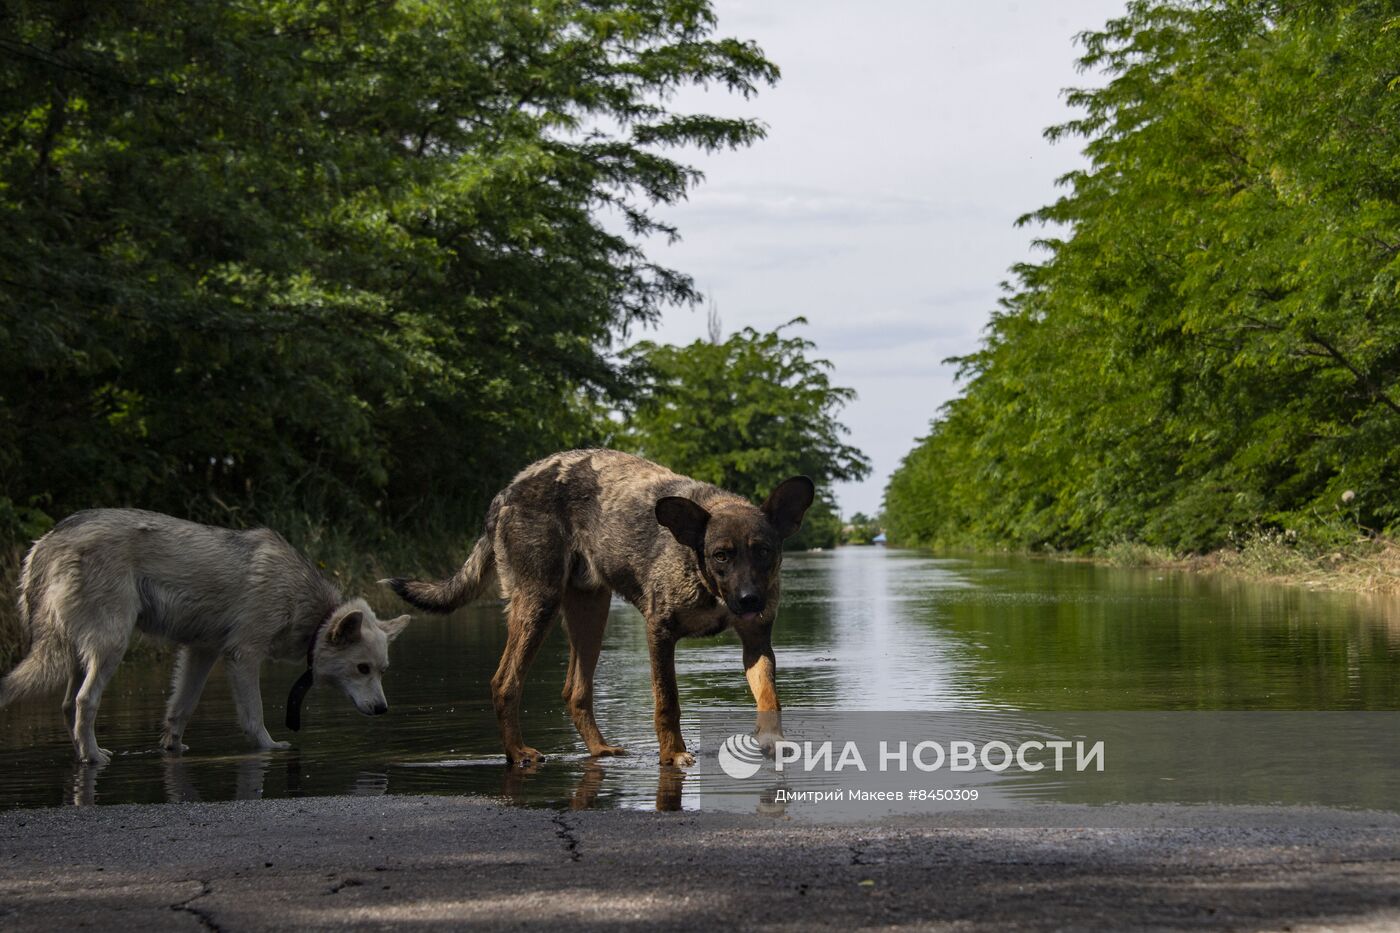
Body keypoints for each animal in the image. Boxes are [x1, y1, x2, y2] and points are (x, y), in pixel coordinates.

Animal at [389, 448, 817, 762]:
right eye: (721, 555)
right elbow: (668, 702)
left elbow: (770, 696)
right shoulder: (659, 633)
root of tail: (506, 492)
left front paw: (772, 739)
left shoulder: (756, 642)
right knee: (505, 682)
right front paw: (673, 754)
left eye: (764, 551)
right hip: (538, 603)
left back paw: (598, 748)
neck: (705, 578)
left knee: (574, 690)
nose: (749, 599)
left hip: (590, 613)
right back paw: (517, 753)